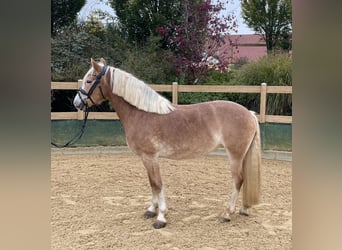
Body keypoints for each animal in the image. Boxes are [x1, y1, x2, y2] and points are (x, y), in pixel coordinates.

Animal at [71, 57, 260, 229]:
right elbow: (152, 183)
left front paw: (161, 217)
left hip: (235, 155)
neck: (141, 113)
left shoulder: (150, 157)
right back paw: (243, 209)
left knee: (238, 180)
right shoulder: (146, 158)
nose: (76, 103)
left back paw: (227, 213)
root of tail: (249, 114)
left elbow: (157, 184)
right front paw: (151, 210)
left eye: (89, 81)